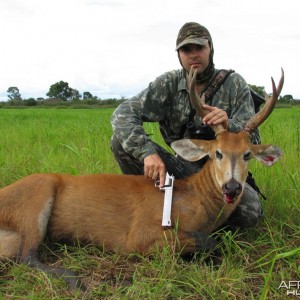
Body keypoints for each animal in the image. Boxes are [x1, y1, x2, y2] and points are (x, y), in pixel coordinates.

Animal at [0, 68, 284, 290]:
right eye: (217, 153)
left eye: (247, 154)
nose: (232, 187)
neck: (193, 199)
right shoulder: (140, 235)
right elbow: (211, 241)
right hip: (38, 194)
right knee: (27, 256)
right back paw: (75, 280)